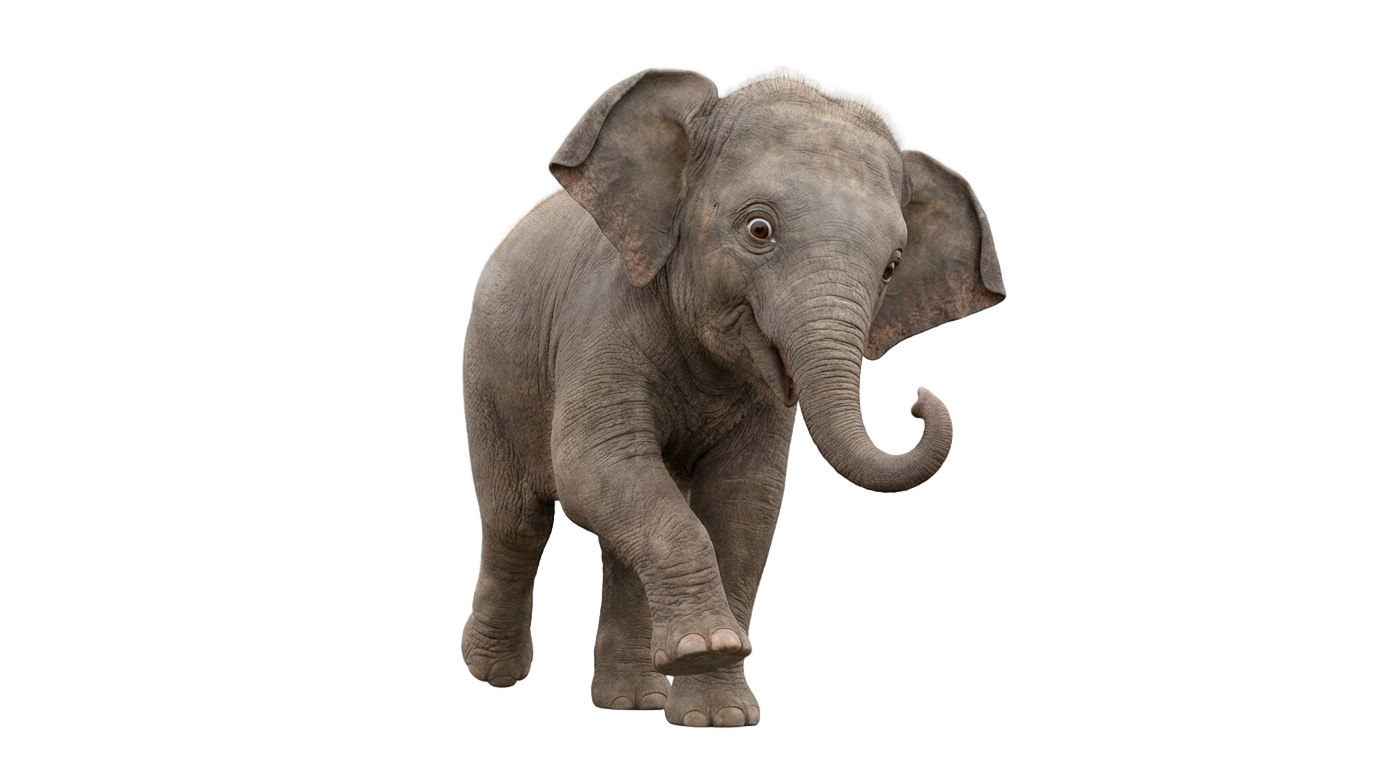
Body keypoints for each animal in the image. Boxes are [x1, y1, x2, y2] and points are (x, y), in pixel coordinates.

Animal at [458, 69, 1004, 727]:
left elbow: (745, 501)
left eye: (893, 267)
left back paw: (635, 703)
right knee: (516, 520)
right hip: (489, 374)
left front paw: (718, 715)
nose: (920, 403)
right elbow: (591, 464)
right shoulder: (601, 320)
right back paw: (494, 681)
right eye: (758, 230)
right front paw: (707, 653)